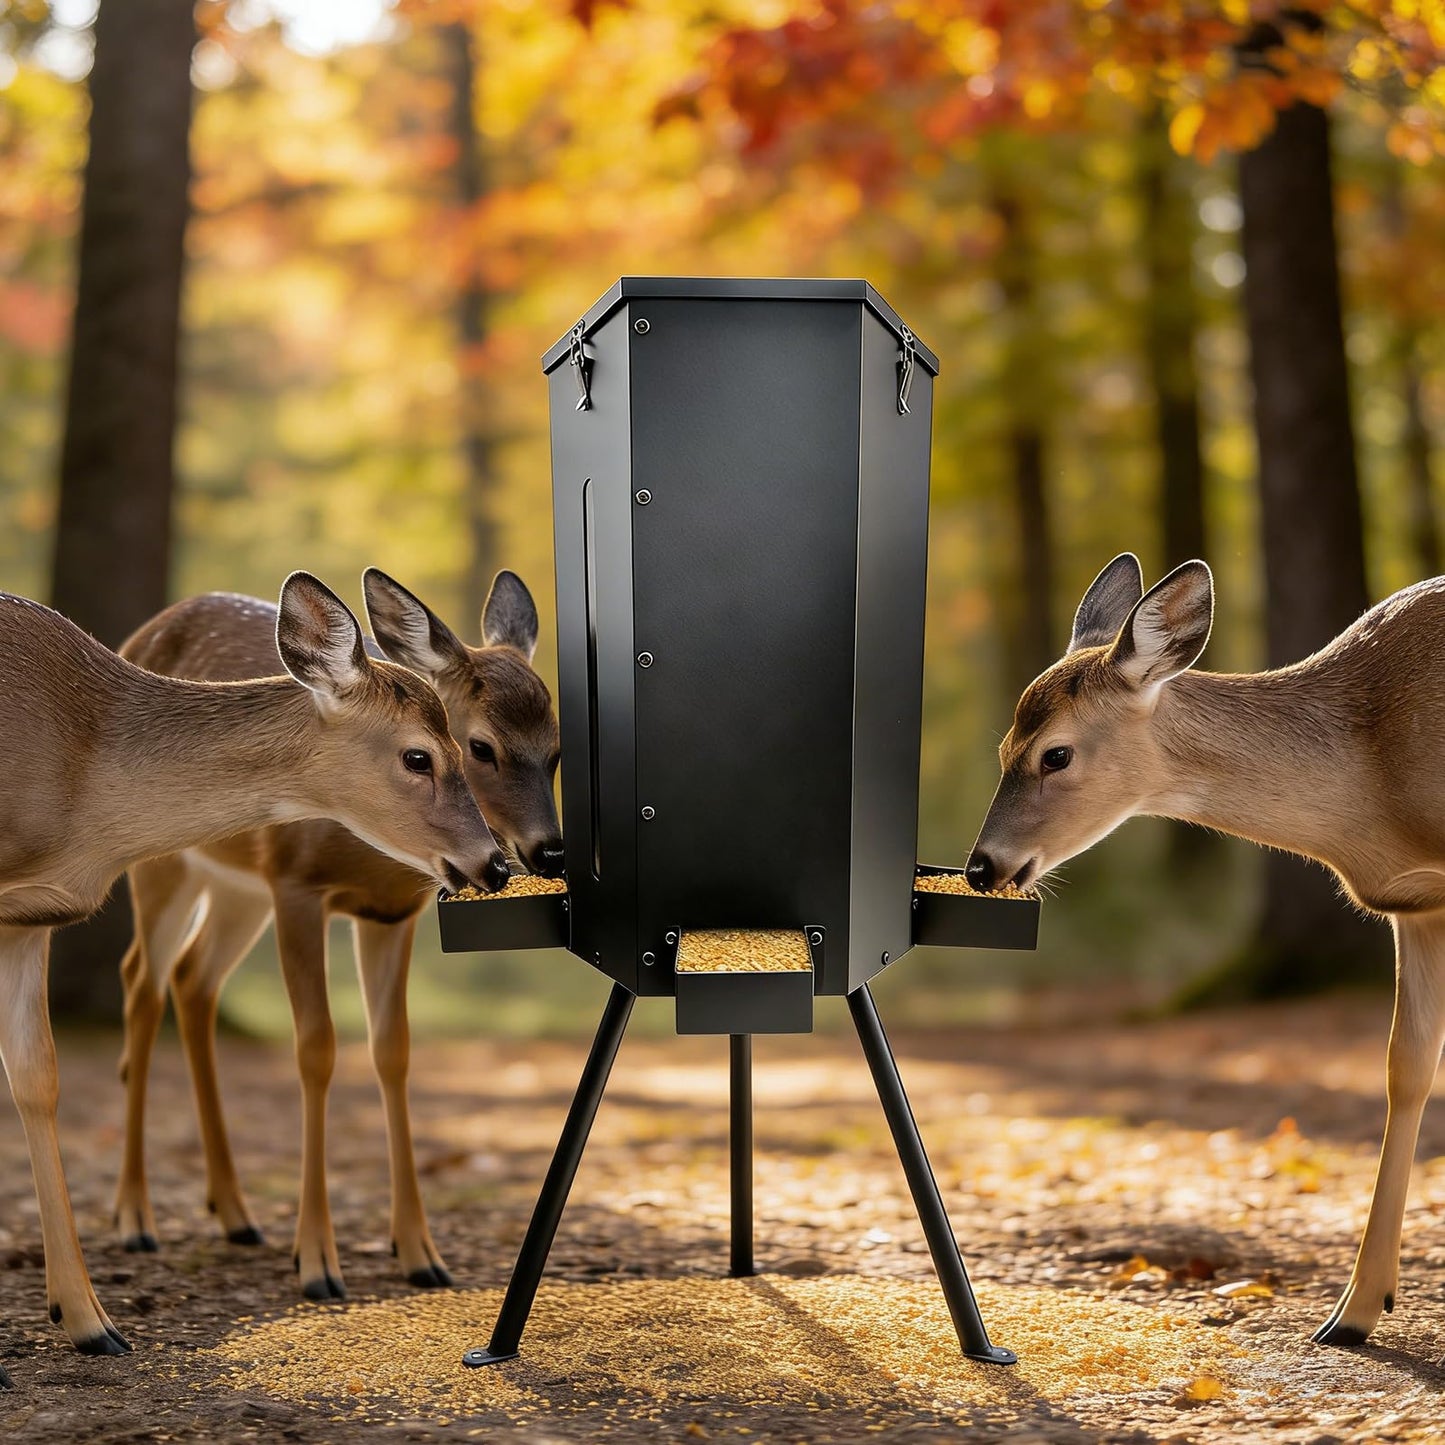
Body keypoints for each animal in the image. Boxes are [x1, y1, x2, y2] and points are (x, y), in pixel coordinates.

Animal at [0, 573, 508, 1386]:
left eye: (468, 748)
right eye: (419, 756)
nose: (493, 863)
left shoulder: (31, 916)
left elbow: (38, 1079)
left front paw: (87, 1320)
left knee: (183, 982)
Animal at [111, 569, 561, 1303]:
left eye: (556, 750)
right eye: (481, 746)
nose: (548, 851)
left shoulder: (394, 914)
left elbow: (392, 1051)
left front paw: (420, 1253)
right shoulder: (296, 886)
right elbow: (316, 1049)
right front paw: (318, 1261)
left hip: (238, 888)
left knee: (192, 979)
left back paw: (235, 1214)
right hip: (164, 864)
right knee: (141, 984)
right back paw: (134, 1219)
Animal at [966, 551, 1445, 1348]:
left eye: (1054, 754)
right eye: (1002, 749)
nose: (981, 867)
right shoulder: (1416, 907)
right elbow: (1404, 1066)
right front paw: (1353, 1310)